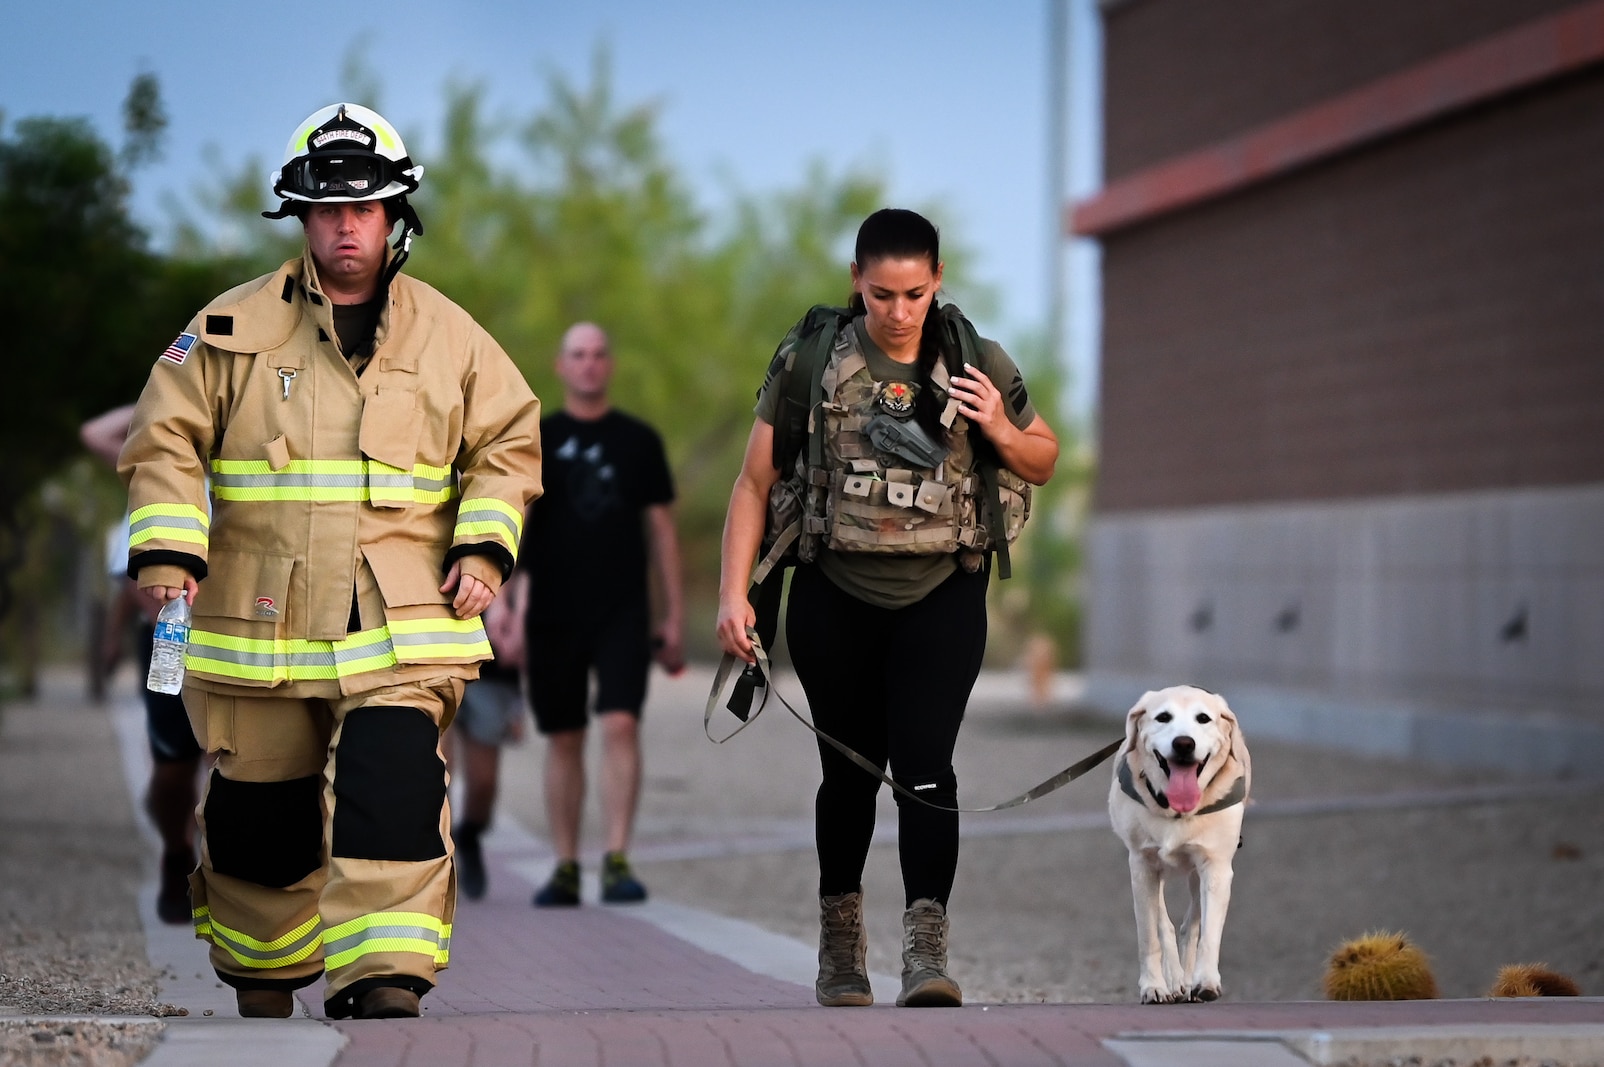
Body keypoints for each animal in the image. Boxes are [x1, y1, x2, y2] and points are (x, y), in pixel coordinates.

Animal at [1109, 686, 1244, 1001]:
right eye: (1163, 717)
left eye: (1203, 718)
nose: (1183, 743)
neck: (1176, 811)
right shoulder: (1142, 866)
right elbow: (1149, 935)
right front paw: (1154, 986)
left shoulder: (1217, 868)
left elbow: (1208, 932)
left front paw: (1206, 981)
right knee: (1164, 923)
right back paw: (1174, 979)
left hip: (1197, 874)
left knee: (1191, 922)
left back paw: (1188, 978)